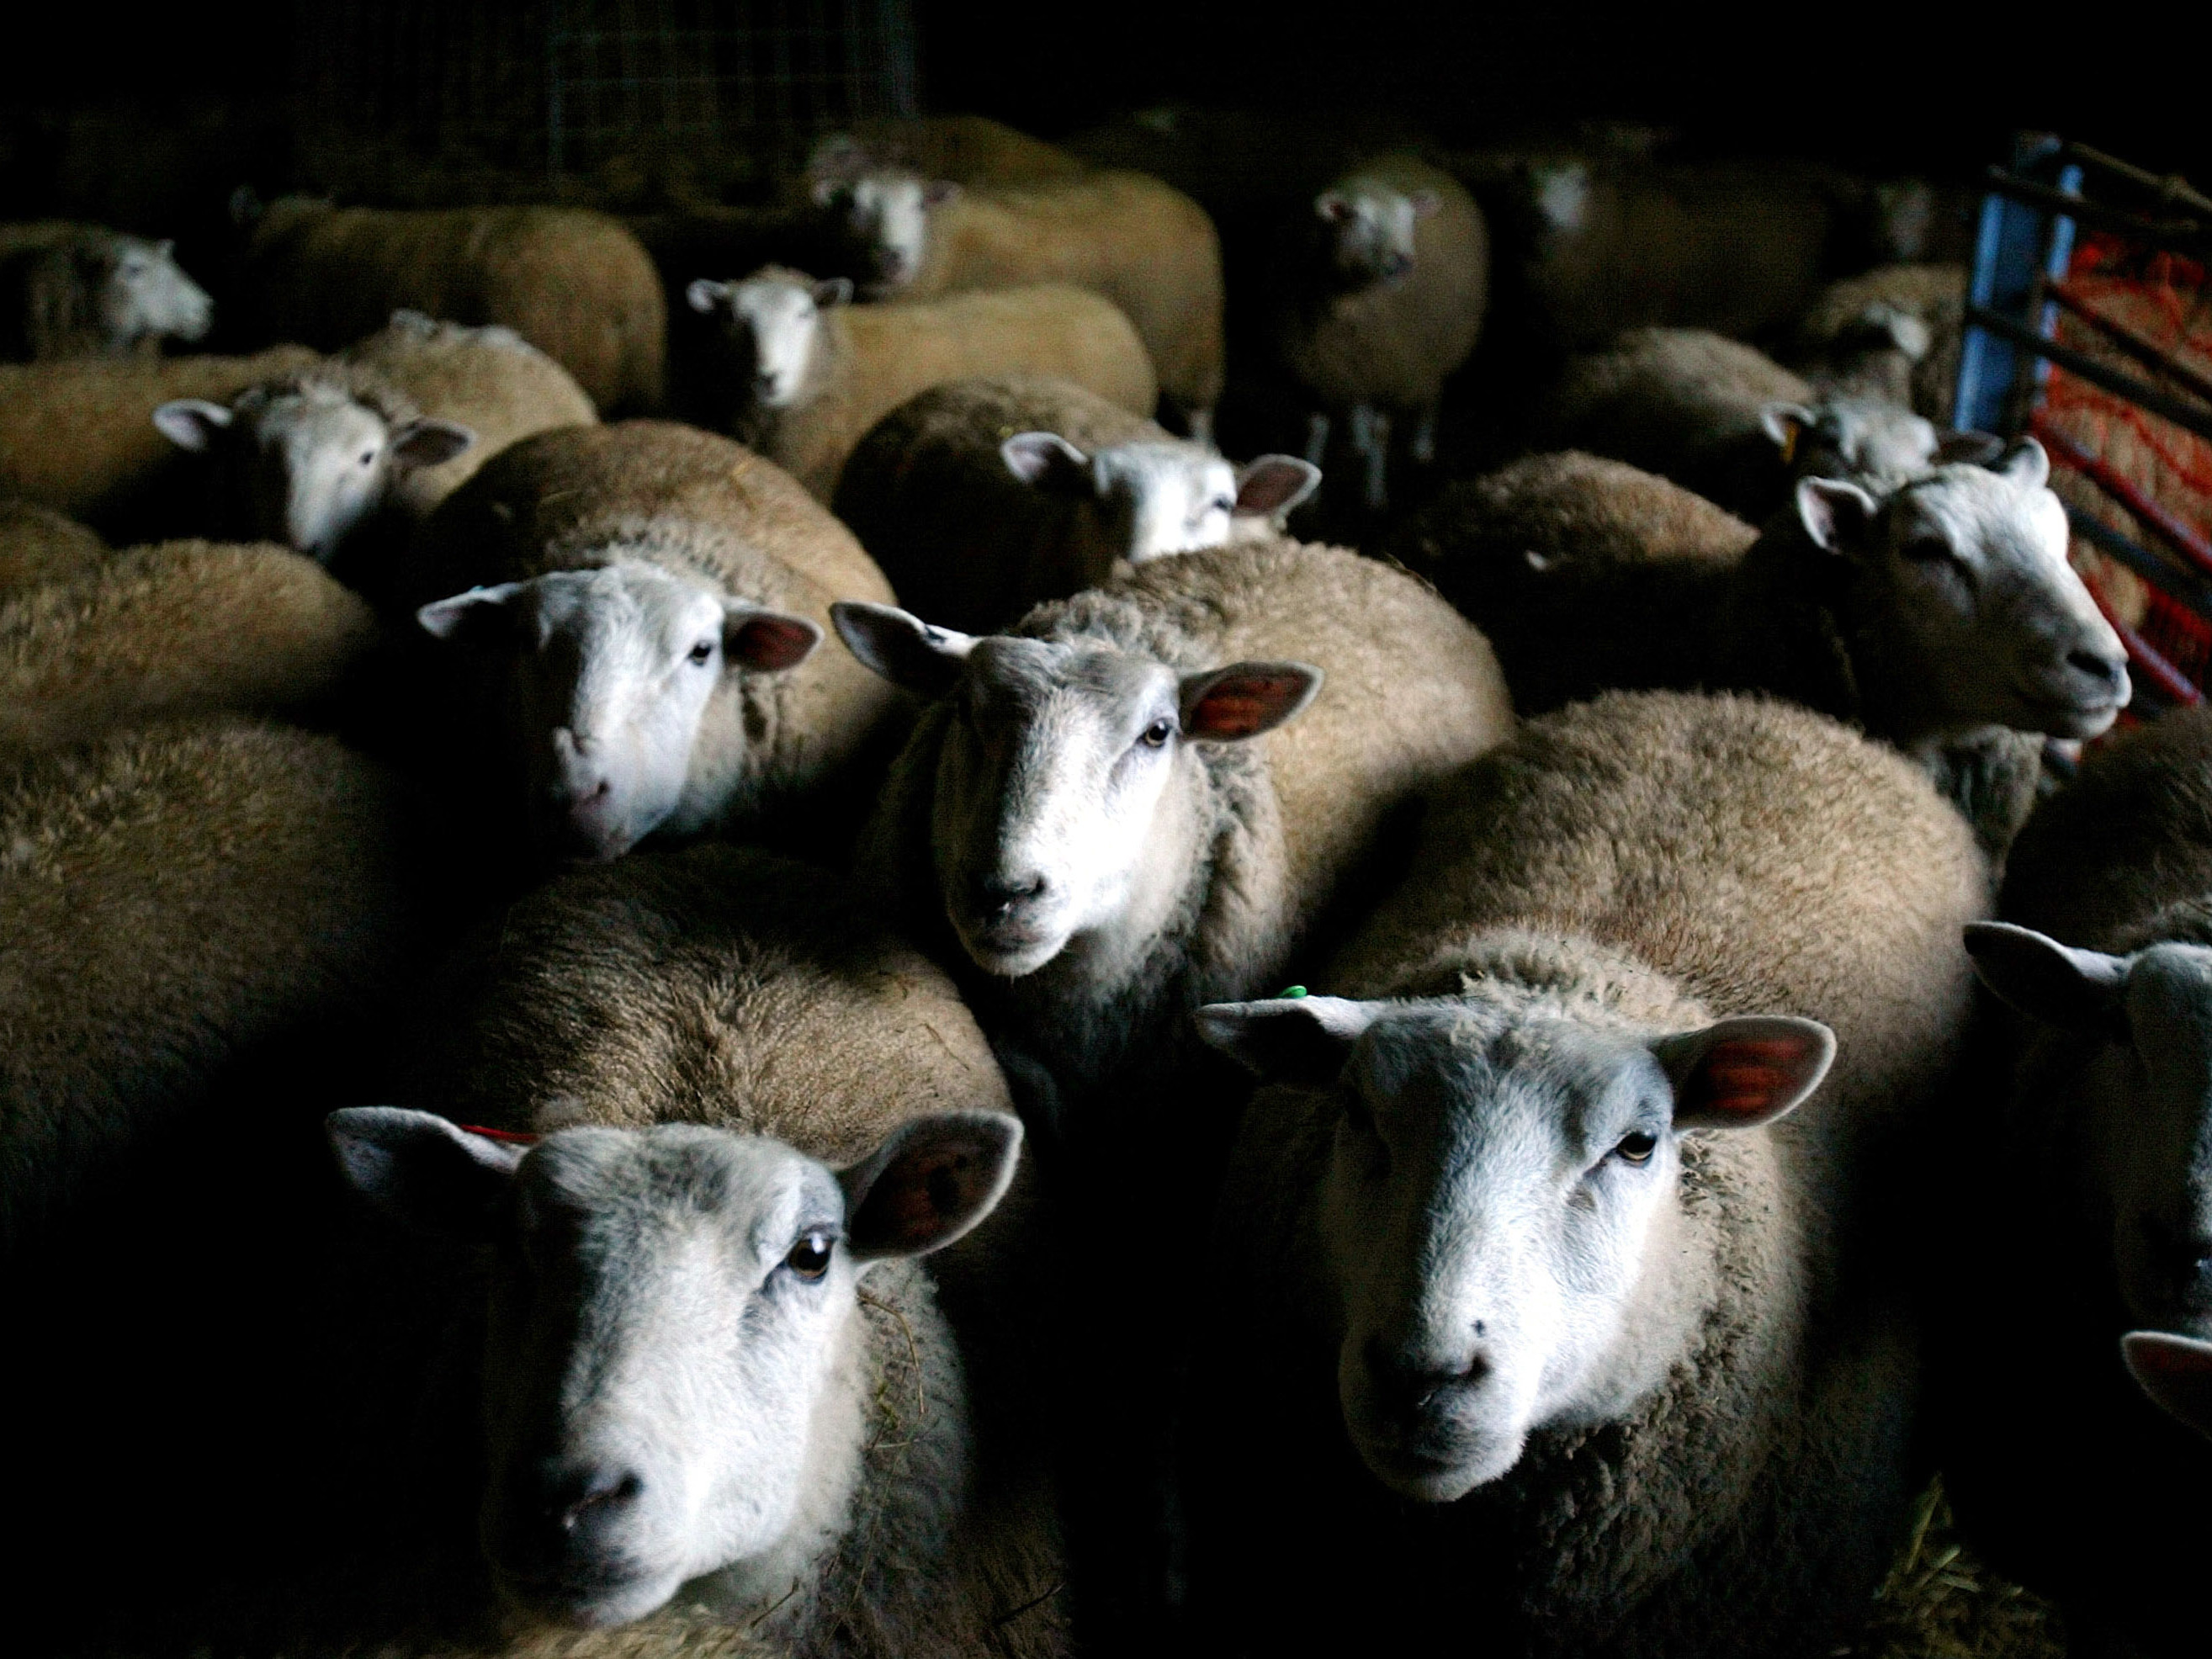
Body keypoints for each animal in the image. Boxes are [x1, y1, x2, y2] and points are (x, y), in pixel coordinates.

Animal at [808, 165, 1224, 436]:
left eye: (920, 205)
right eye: (854, 208)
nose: (891, 256)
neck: (944, 246)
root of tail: (1176, 195)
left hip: (1191, 339)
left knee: (1199, 414)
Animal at [1263, 153, 1488, 512]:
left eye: (1410, 219)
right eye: (1358, 219)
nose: (1402, 262)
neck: (1350, 310)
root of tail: (1409, 159)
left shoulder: (1392, 370)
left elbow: (1382, 431)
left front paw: (1374, 492)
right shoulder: (1316, 370)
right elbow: (1315, 428)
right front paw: (1311, 491)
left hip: (1439, 345)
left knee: (1433, 391)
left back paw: (1421, 446)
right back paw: (1359, 438)